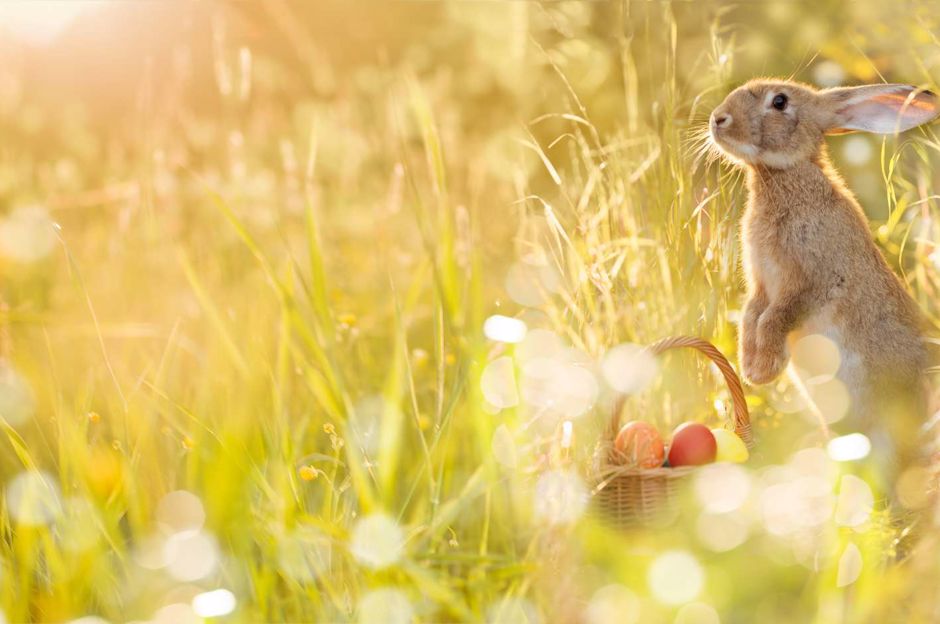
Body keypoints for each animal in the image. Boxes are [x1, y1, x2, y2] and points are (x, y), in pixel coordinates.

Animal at [708, 79, 936, 472]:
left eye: (779, 102)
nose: (718, 118)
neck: (782, 176)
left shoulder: (811, 283)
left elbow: (774, 318)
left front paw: (764, 370)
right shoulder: (761, 285)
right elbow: (752, 316)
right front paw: (750, 365)